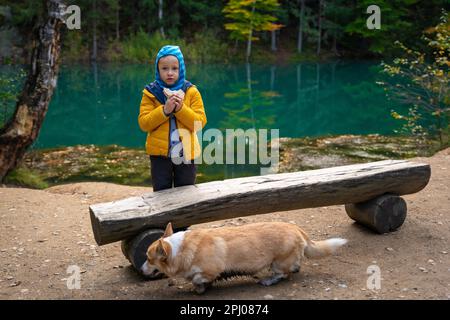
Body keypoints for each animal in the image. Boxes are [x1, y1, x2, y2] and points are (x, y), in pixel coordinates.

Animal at [141, 221, 348, 294]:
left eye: (149, 260)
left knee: (283, 274)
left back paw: (267, 280)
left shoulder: (210, 270)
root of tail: (296, 228)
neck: (180, 250)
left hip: (277, 263)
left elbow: (199, 278)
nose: (142, 268)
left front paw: (199, 287)